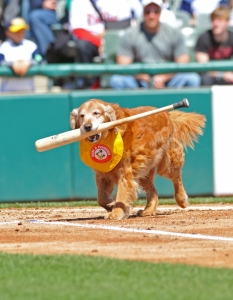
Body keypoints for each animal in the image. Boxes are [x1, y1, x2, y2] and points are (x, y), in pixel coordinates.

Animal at [70, 99, 206, 219]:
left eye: (96, 113)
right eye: (82, 115)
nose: (87, 126)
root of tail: (167, 114)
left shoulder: (124, 172)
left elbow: (122, 194)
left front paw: (116, 212)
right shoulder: (102, 174)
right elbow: (101, 199)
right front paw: (112, 205)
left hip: (168, 162)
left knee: (176, 178)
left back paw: (181, 199)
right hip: (143, 168)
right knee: (153, 191)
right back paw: (148, 210)